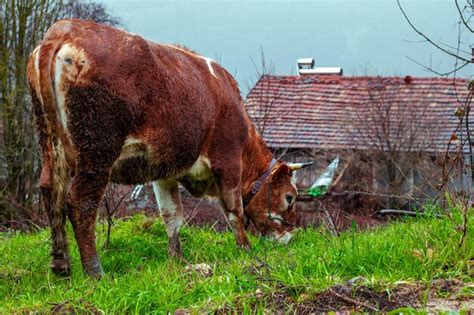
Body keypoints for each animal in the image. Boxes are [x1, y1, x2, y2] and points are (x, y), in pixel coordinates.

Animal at [25, 18, 312, 278]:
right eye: (289, 197)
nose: (291, 235)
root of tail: (63, 30)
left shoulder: (165, 171)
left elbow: (171, 214)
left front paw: (176, 258)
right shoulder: (228, 159)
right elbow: (234, 211)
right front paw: (245, 250)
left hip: (50, 144)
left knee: (51, 192)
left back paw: (60, 265)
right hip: (97, 149)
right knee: (80, 202)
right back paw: (95, 272)